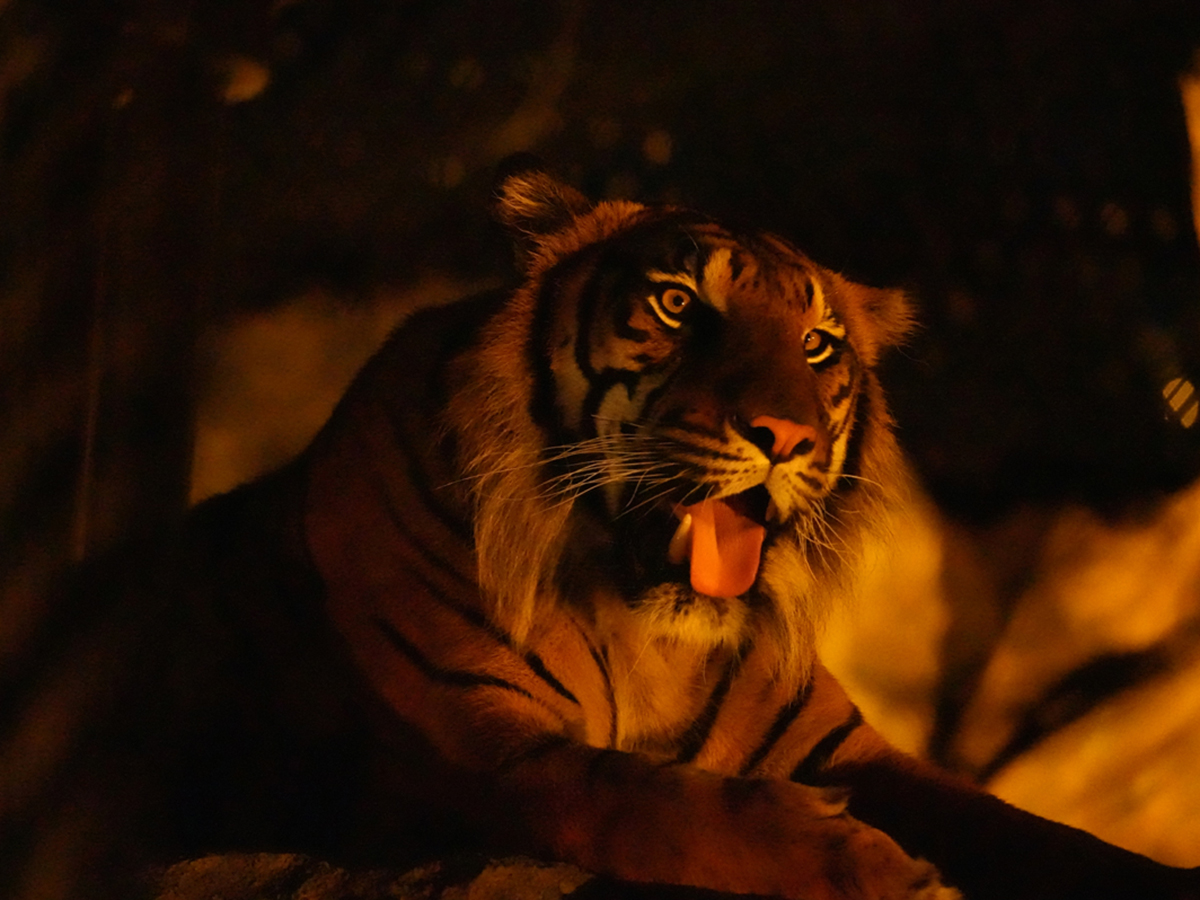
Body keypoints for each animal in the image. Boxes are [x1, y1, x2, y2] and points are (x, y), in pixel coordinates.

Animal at [2, 168, 1200, 900]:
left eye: (817, 345)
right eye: (677, 306)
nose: (786, 438)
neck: (649, 632)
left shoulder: (852, 751)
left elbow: (1032, 831)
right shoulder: (493, 755)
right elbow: (670, 803)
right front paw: (881, 870)